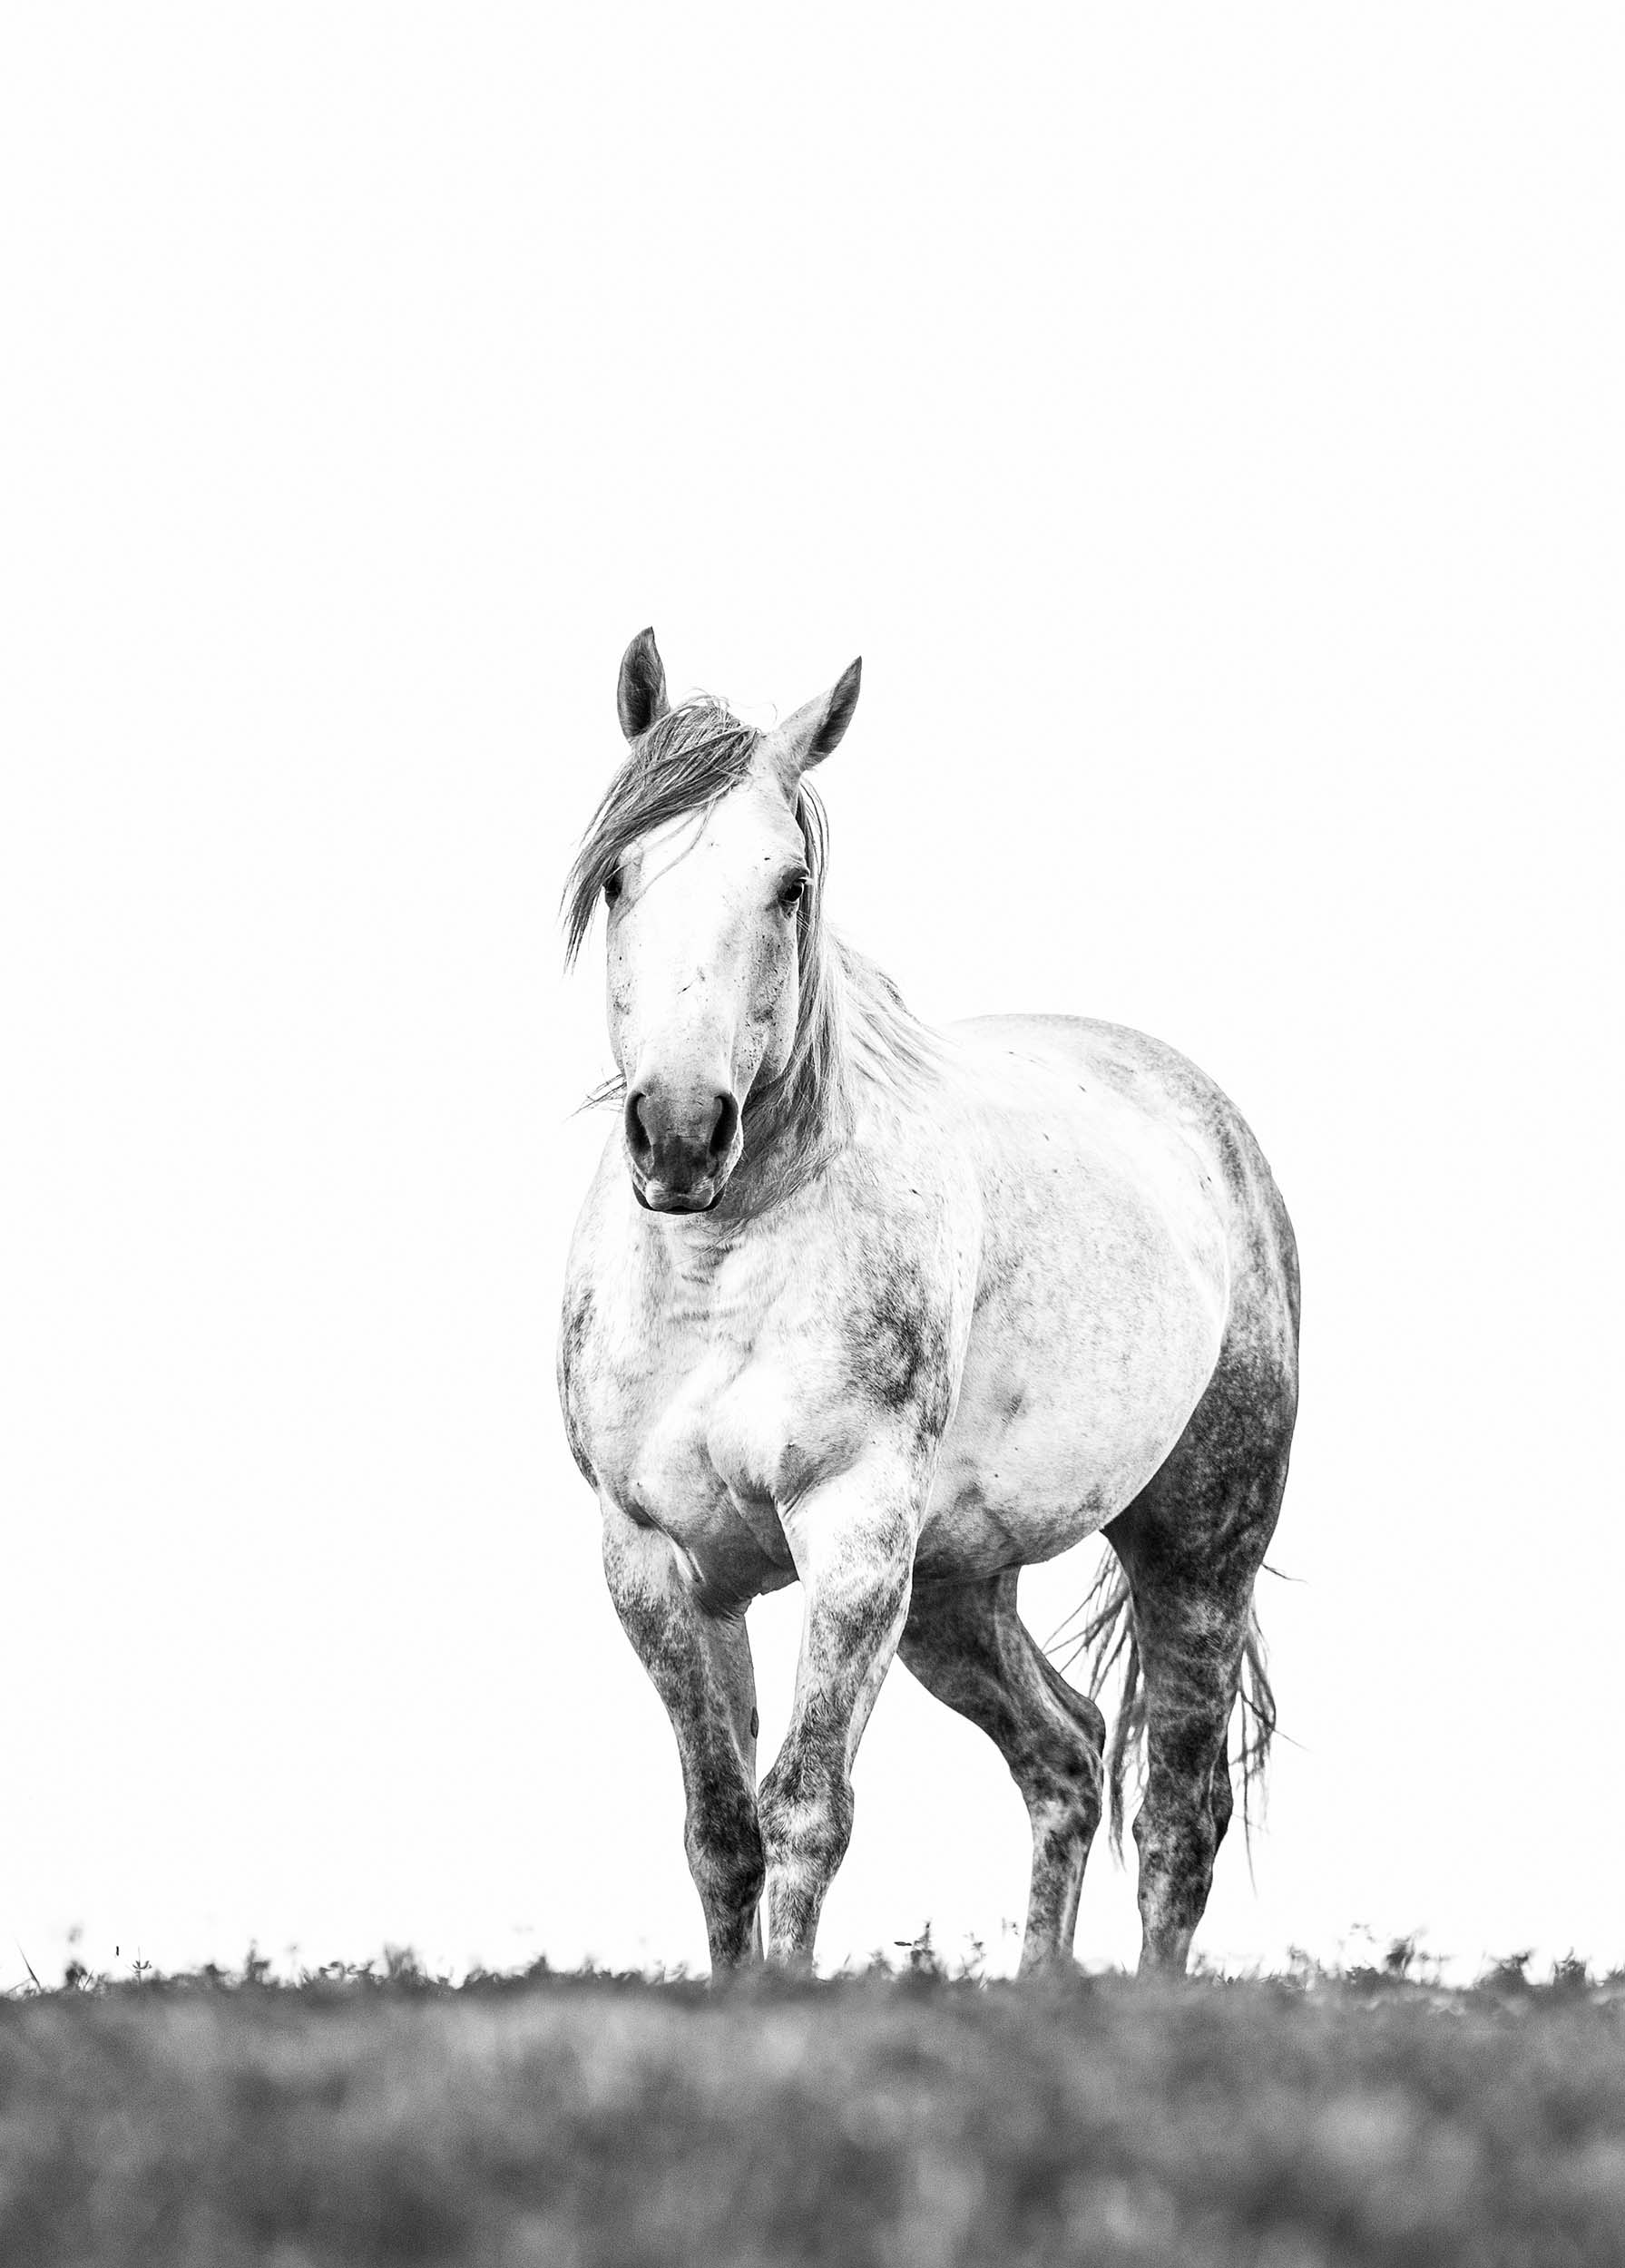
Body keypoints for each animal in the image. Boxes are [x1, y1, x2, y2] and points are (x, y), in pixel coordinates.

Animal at [557, 629, 1300, 1976]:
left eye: (791, 884)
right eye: (620, 877)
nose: (682, 1132)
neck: (721, 1275)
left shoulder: (852, 1537)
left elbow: (804, 1812)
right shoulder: (652, 1560)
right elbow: (719, 1833)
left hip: (1198, 1548)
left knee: (1179, 1815)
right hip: (956, 1588)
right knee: (1065, 1756)